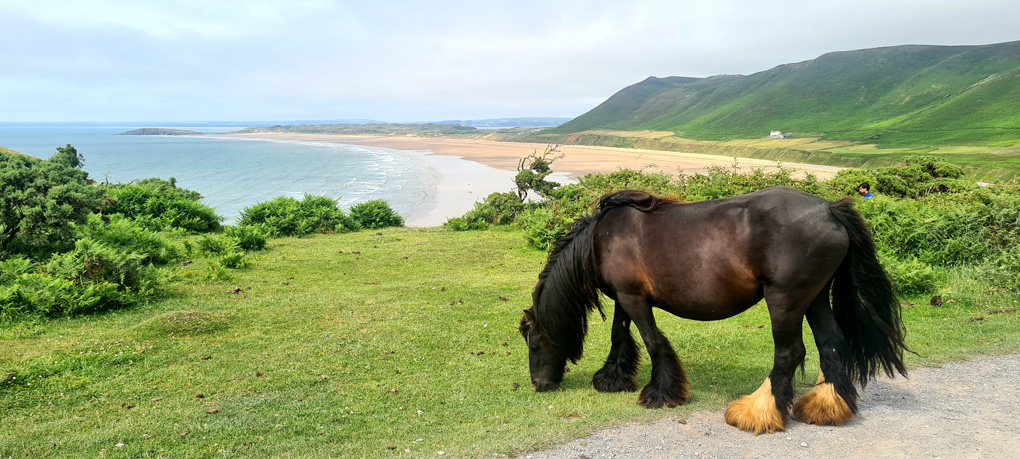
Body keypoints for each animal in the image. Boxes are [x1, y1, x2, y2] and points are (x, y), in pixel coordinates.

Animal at [519, 187, 908, 434]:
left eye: (533, 343)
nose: (539, 385)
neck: (602, 238)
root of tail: (829, 209)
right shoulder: (624, 298)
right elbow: (619, 335)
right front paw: (612, 379)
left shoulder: (633, 299)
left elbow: (653, 342)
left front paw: (661, 393)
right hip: (813, 298)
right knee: (830, 343)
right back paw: (825, 407)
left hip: (785, 299)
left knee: (789, 353)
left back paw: (756, 413)